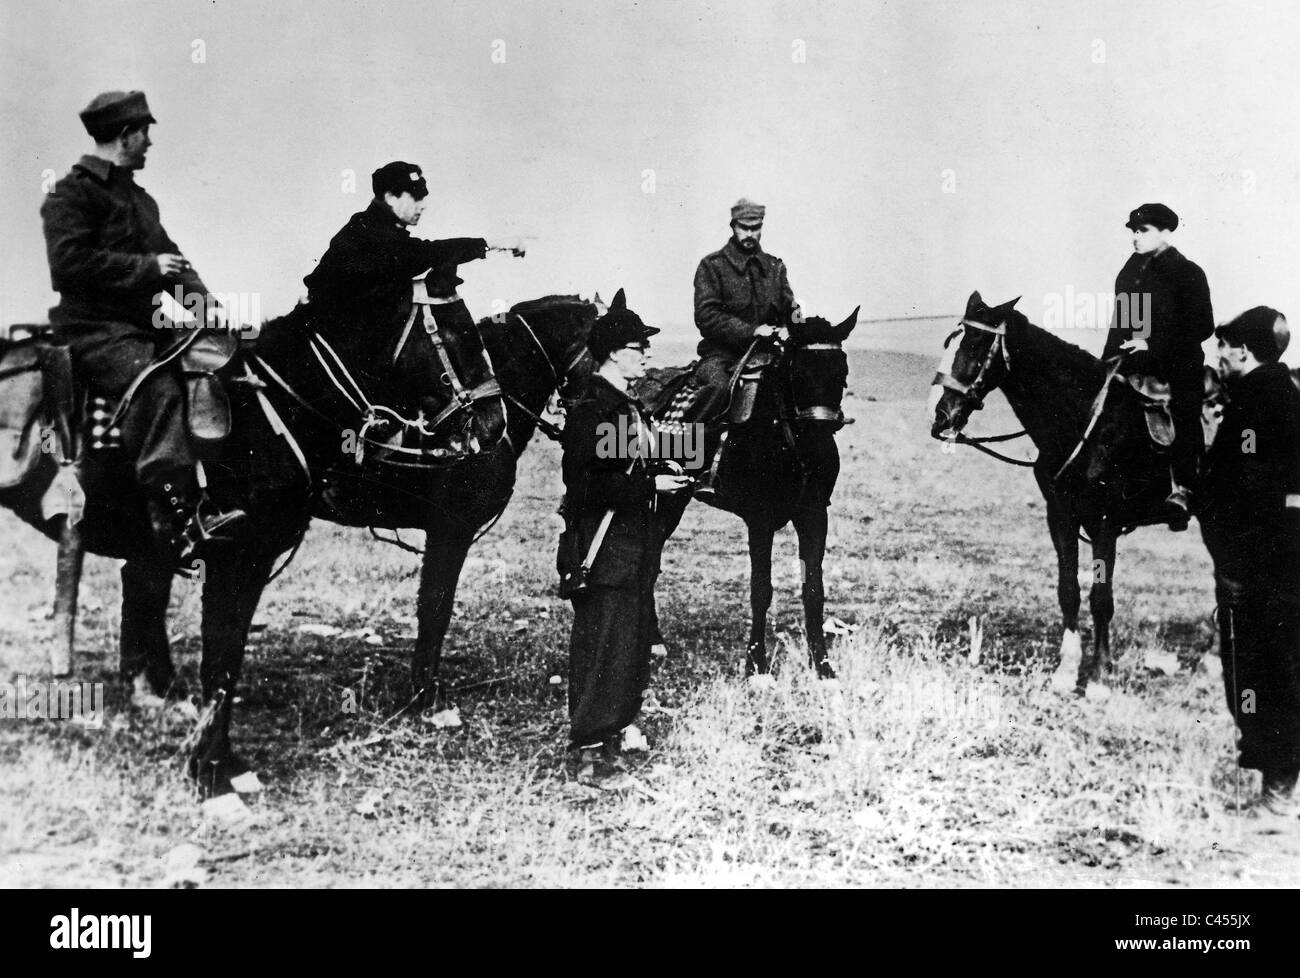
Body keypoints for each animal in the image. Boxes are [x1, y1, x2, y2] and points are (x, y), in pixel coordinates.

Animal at [2, 290, 595, 795]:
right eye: (457, 334)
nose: (489, 427)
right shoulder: (448, 532)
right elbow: (435, 608)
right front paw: (424, 698)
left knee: (142, 583)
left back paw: (157, 689)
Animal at [634, 309, 857, 676]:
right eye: (797, 371)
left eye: (843, 371)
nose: (820, 436)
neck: (784, 435)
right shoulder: (760, 520)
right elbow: (761, 589)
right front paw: (756, 664)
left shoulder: (813, 515)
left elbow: (813, 588)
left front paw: (823, 666)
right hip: (664, 499)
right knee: (649, 562)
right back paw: (651, 641)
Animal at [925, 290, 1196, 697]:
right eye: (947, 342)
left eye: (974, 343)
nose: (941, 416)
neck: (1084, 422)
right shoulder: (1060, 515)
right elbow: (1068, 590)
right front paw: (1066, 672)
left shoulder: (1104, 522)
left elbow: (1101, 598)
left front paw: (1100, 676)